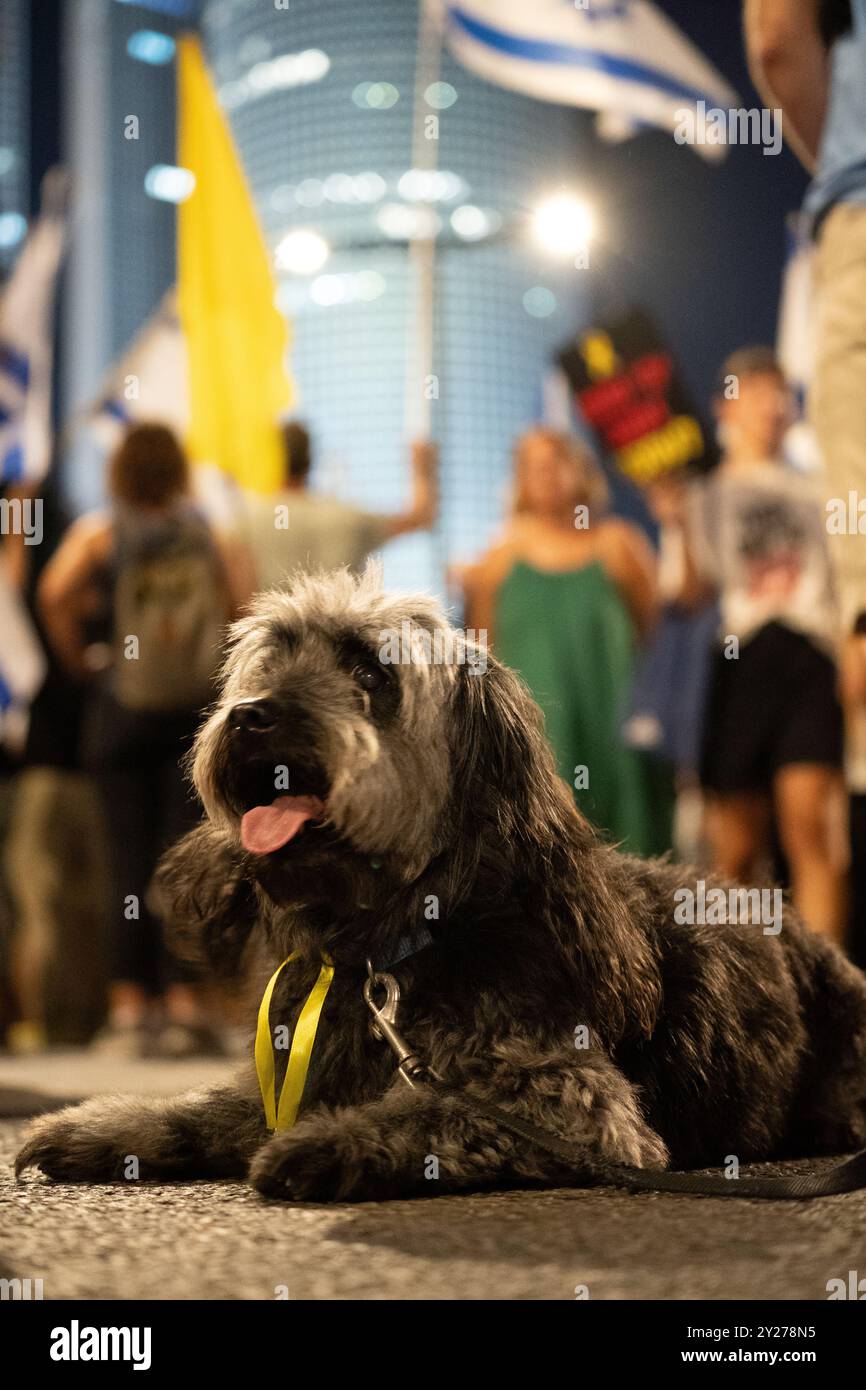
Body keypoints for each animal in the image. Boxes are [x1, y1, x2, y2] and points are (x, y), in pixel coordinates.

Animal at [15, 569, 866, 1200]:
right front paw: (104, 1125)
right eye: (272, 658)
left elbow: (426, 1113)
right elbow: (197, 1111)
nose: (252, 716)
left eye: (369, 671)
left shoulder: (577, 1108)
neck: (388, 944)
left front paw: (329, 1143)